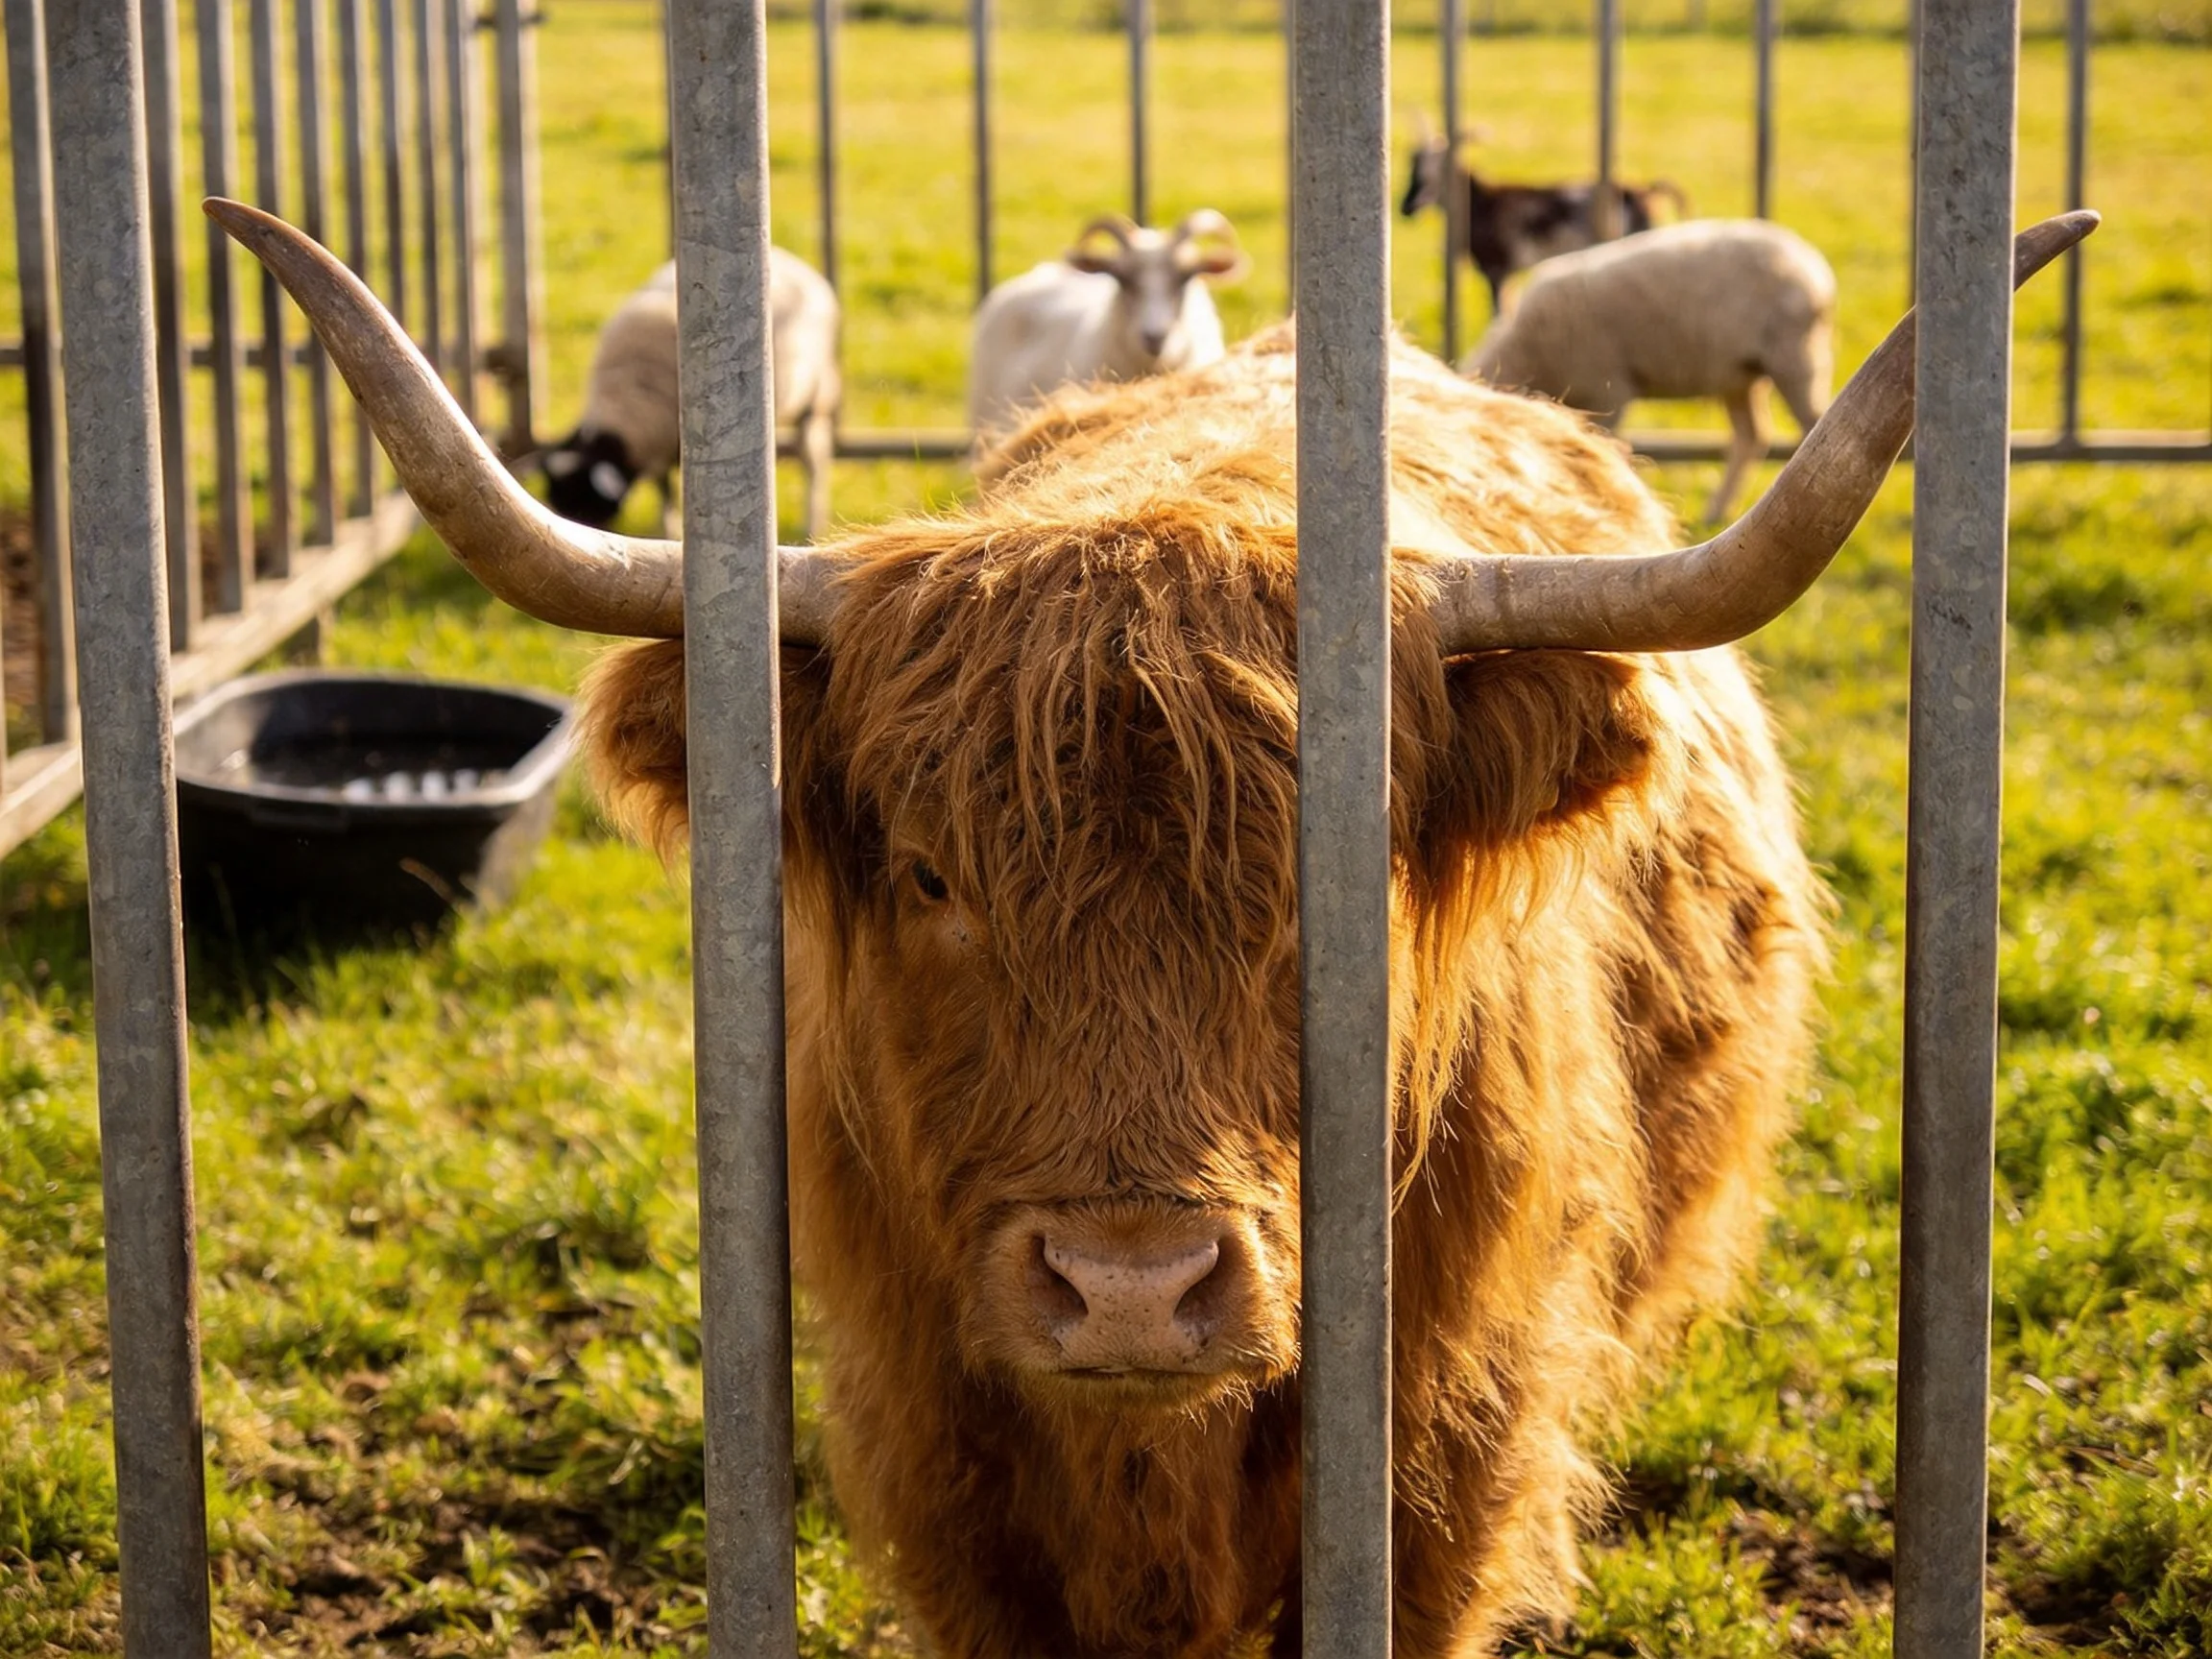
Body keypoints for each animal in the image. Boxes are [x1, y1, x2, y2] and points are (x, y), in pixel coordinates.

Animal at [542, 245, 842, 540]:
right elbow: (666, 493)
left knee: (814, 460)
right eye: (559, 502)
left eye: (584, 504)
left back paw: (812, 522)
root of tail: (796, 263)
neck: (631, 390)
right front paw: (669, 530)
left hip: (817, 395)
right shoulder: (659, 450)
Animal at [1467, 218, 1836, 523]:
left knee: (1810, 424)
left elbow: (1606, 443)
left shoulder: (1608, 389)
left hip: (1796, 356)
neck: (1527, 351)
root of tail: (1811, 260)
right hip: (1740, 374)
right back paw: (1716, 512)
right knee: (1752, 435)